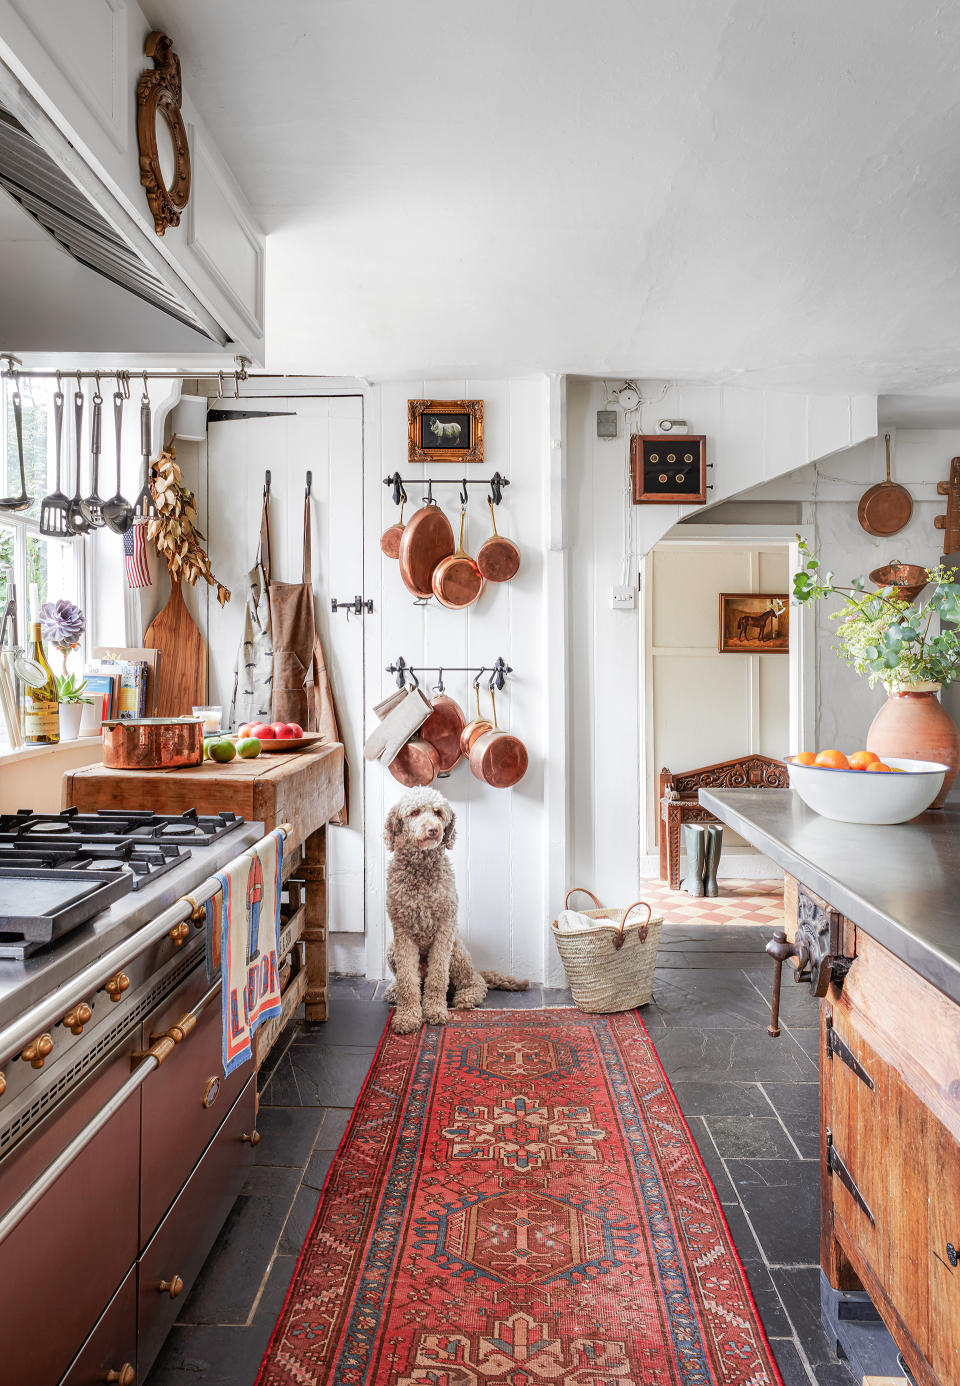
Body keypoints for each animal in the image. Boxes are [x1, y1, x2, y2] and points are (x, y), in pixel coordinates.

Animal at [382, 787, 529, 1036]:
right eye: (414, 812)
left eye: (438, 812)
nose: (433, 829)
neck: (421, 870)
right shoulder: (402, 932)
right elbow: (407, 981)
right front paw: (407, 1016)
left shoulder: (444, 929)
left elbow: (437, 978)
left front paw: (434, 1011)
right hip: (392, 948)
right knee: (413, 981)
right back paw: (393, 990)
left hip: (457, 952)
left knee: (476, 981)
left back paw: (467, 996)